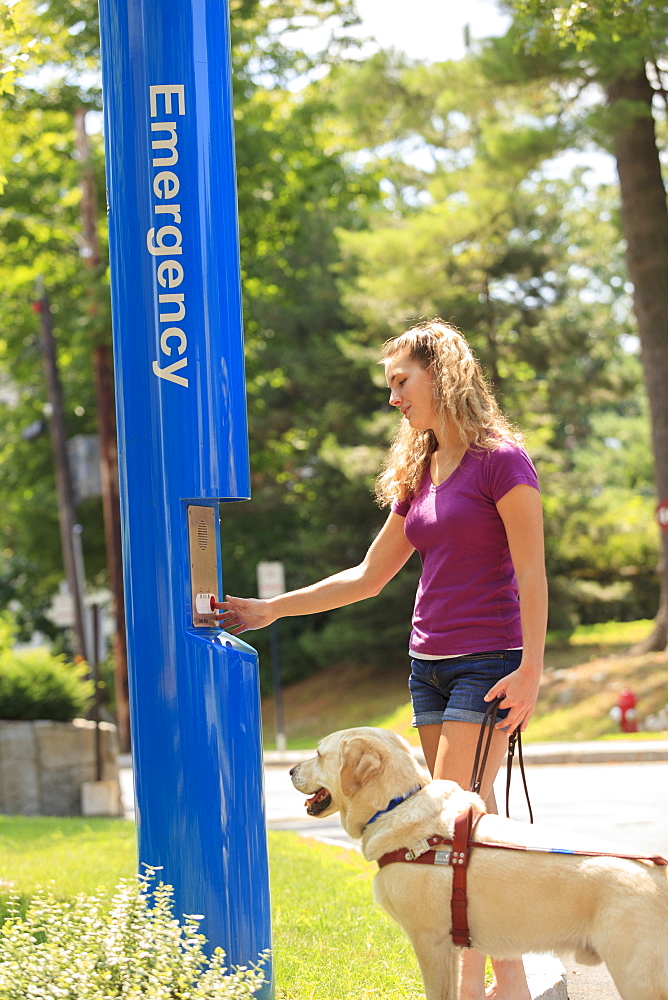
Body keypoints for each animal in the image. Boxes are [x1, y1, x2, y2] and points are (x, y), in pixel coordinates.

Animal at [290, 728, 668, 1000]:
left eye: (319, 754)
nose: (291, 769)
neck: (396, 805)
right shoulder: (451, 948)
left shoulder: (430, 941)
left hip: (638, 975)